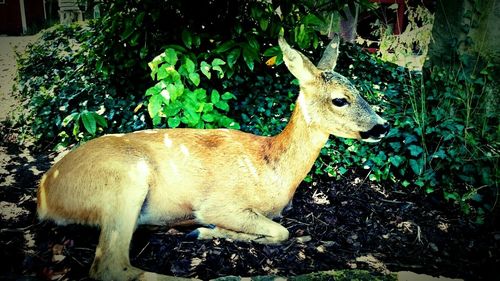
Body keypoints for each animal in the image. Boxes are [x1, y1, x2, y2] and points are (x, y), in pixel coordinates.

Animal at [38, 35, 390, 280]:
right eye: (340, 100)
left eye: (360, 91)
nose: (382, 126)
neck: (271, 169)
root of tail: (44, 194)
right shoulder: (220, 203)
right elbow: (281, 232)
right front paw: (208, 229)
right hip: (124, 183)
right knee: (112, 267)